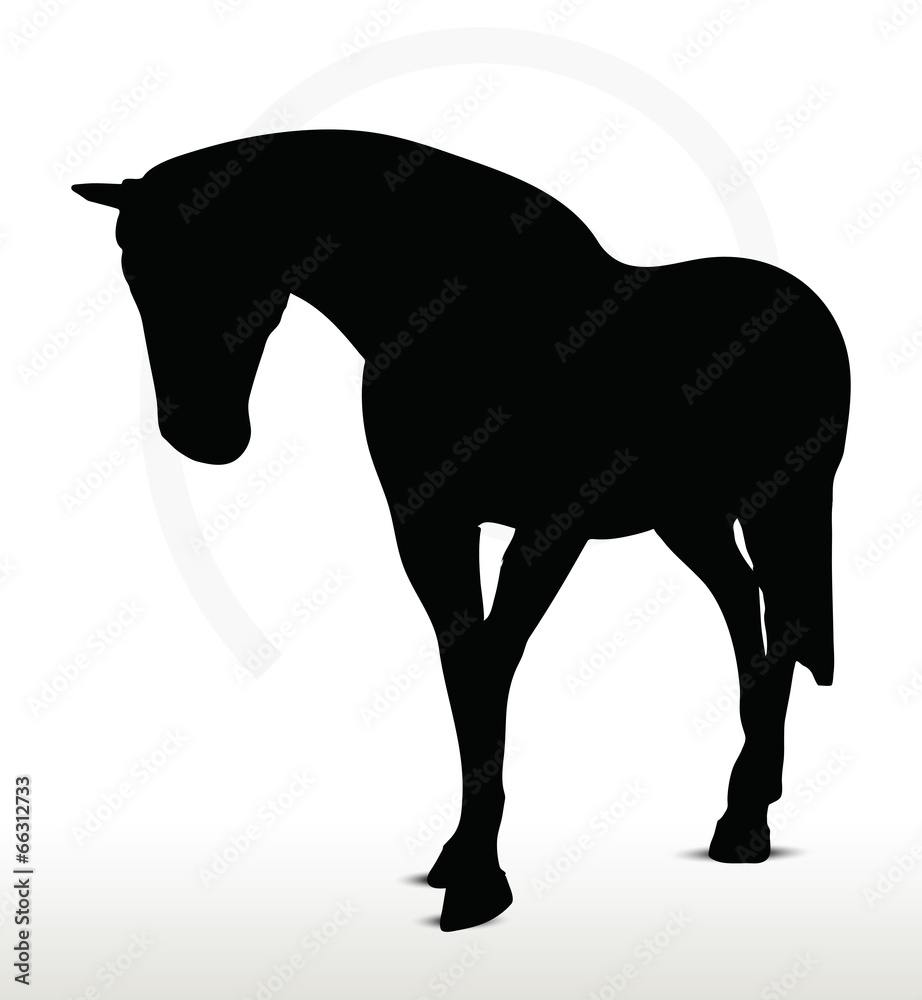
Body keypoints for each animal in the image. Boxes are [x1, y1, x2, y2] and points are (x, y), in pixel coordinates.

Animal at [74, 128, 850, 931]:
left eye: (215, 260)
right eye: (135, 280)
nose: (200, 436)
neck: (472, 317)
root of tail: (809, 305)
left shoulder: (550, 526)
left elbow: (491, 669)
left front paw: (478, 877)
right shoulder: (430, 528)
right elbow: (461, 674)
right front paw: (460, 857)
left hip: (782, 503)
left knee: (784, 617)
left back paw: (747, 824)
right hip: (688, 517)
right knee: (743, 605)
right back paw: (748, 796)